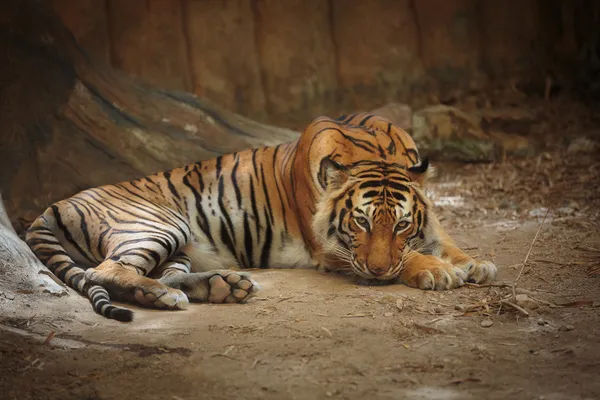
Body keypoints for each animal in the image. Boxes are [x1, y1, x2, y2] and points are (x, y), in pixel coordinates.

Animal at [25, 112, 494, 322]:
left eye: (401, 223)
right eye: (359, 222)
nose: (378, 273)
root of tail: (52, 206)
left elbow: (442, 237)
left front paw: (473, 263)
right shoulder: (331, 250)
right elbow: (410, 257)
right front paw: (437, 271)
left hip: (177, 247)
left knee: (154, 274)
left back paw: (216, 288)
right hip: (155, 224)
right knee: (106, 271)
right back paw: (178, 296)